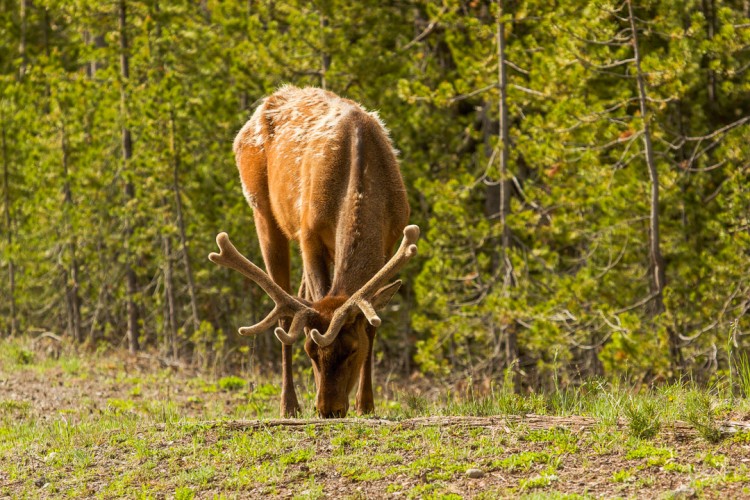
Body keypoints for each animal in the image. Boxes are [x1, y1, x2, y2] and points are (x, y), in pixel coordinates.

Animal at [210, 87, 418, 418]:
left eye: (353, 350)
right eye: (310, 352)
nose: (328, 409)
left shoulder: (393, 237)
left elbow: (372, 321)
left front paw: (366, 404)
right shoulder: (308, 234)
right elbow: (317, 298)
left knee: (298, 296)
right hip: (262, 210)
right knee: (284, 313)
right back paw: (289, 404)